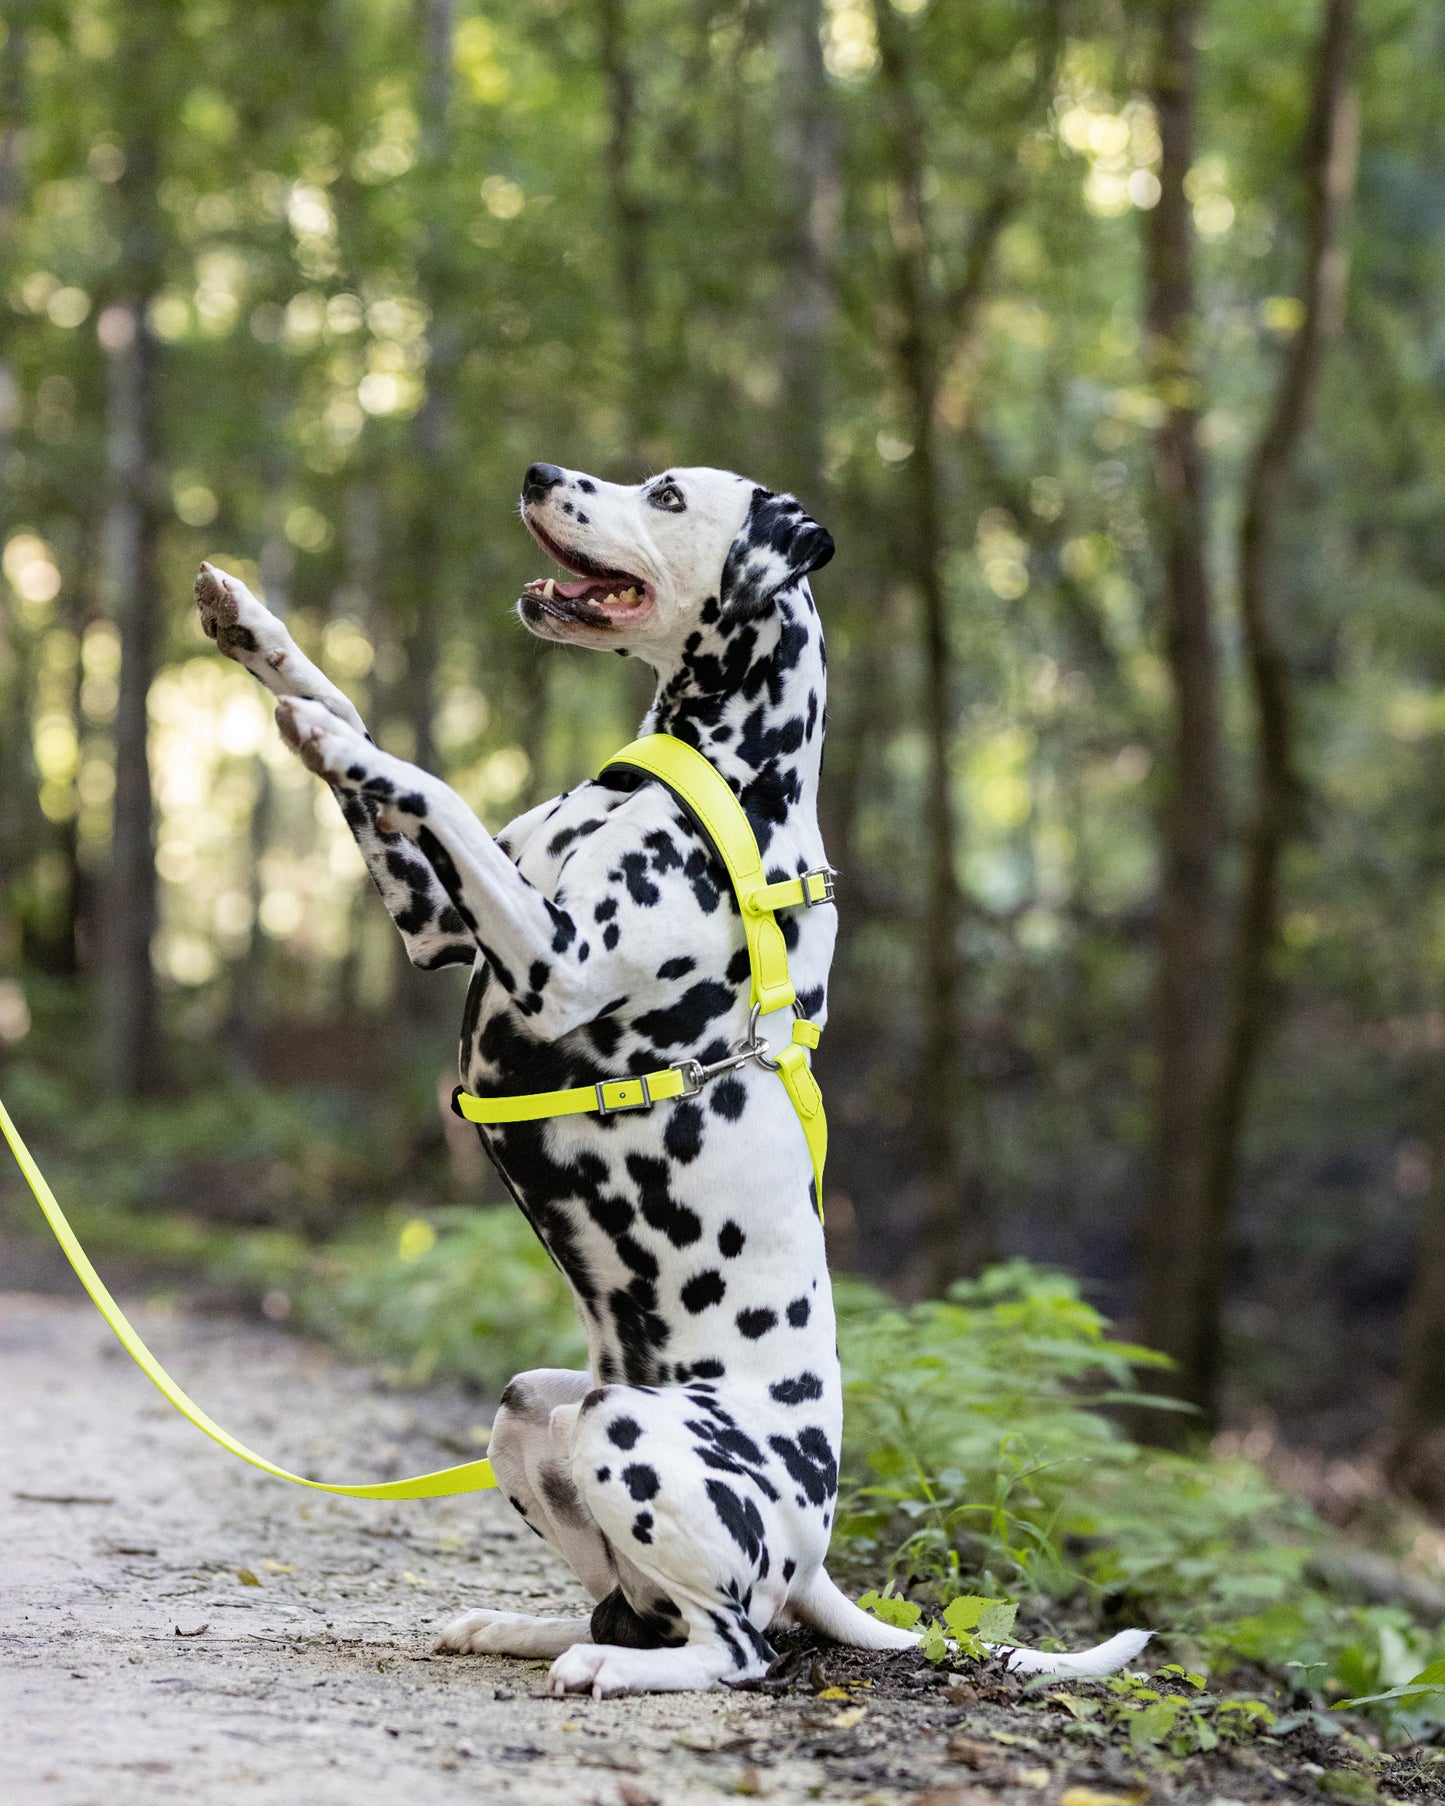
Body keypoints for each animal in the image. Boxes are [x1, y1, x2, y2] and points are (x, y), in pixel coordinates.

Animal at [197, 462, 1148, 1690]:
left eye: (664, 494)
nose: (538, 474)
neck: (716, 777)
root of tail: (812, 1554)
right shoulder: (438, 924)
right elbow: (369, 725)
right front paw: (257, 637)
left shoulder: (551, 961)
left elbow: (424, 777)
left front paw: (320, 728)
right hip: (534, 1412)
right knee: (624, 1605)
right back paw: (526, 1631)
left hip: (631, 1439)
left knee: (736, 1651)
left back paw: (620, 1670)